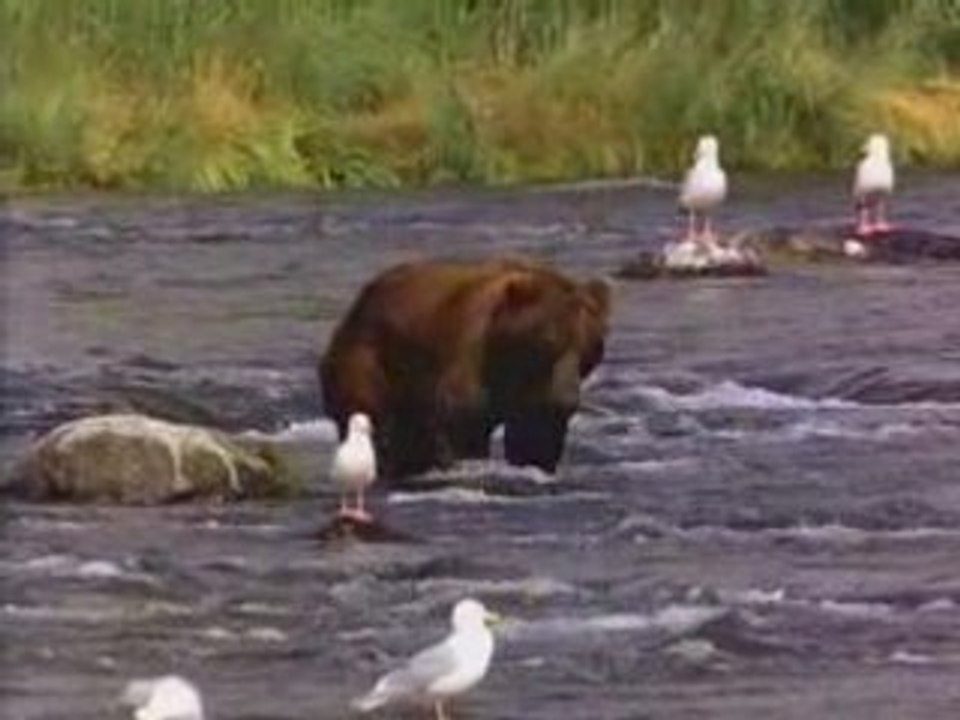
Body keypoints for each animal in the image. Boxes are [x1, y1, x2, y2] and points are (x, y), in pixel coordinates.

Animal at [319, 257, 611, 480]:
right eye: (550, 340)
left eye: (591, 347)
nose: (567, 400)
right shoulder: (469, 356)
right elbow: (464, 427)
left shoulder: (534, 396)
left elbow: (535, 437)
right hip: (371, 361)